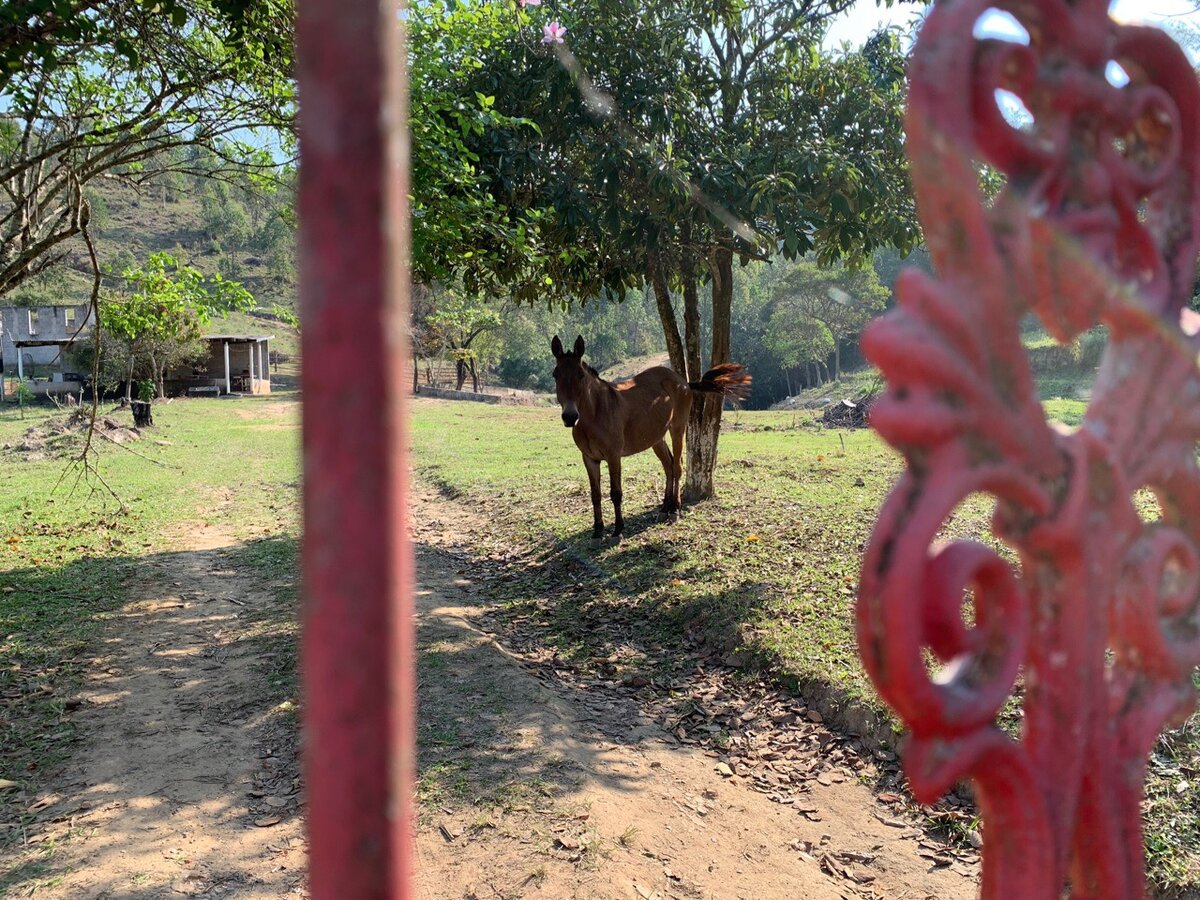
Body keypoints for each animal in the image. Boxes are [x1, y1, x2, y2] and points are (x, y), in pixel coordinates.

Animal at [552, 336, 748, 540]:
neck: (596, 413)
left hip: (677, 429)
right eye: (555, 374)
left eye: (580, 375)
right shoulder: (589, 459)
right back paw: (665, 508)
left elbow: (616, 493)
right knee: (669, 466)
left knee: (677, 467)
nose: (570, 417)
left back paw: (675, 509)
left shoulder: (613, 457)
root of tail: (683, 382)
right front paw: (598, 530)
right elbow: (595, 495)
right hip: (657, 439)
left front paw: (618, 529)